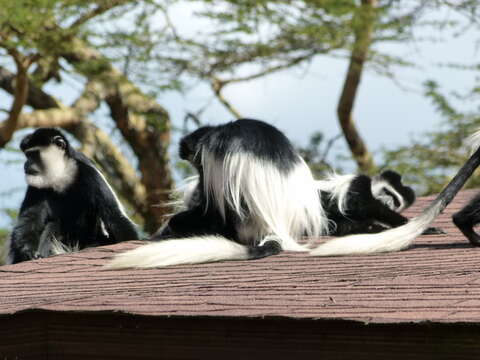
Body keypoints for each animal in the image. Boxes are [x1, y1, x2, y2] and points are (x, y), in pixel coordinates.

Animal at [7, 128, 139, 262]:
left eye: (33, 154)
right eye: (27, 155)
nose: (26, 164)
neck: (62, 175)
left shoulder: (89, 173)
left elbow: (113, 214)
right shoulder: (37, 186)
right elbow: (30, 218)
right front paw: (28, 252)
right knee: (52, 224)